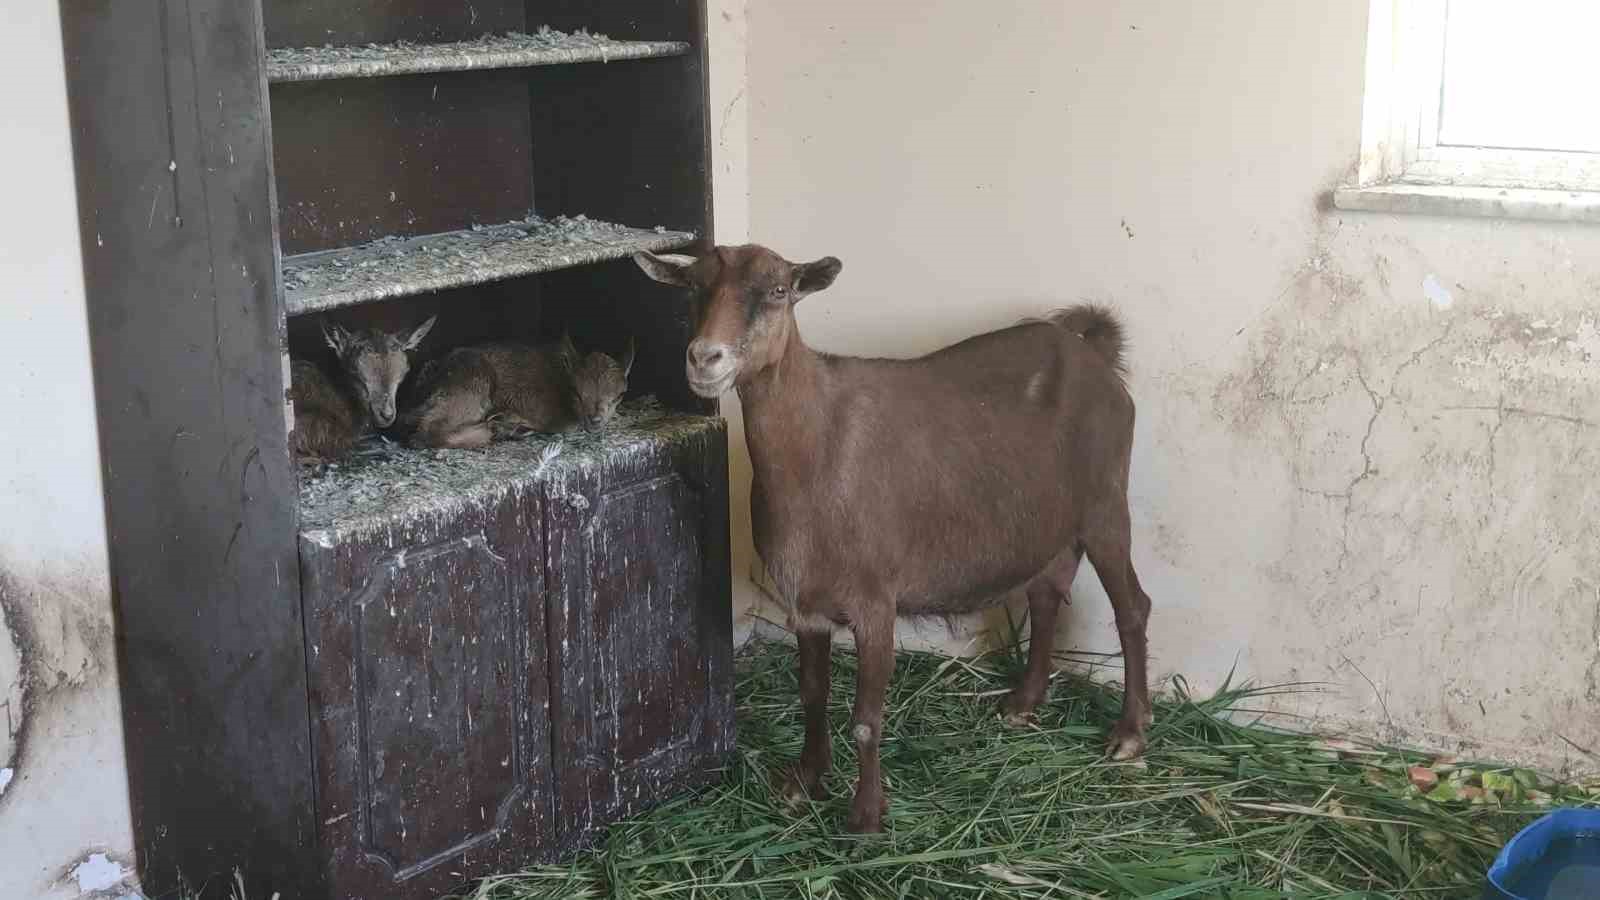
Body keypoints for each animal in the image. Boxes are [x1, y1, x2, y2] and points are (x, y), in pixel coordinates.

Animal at [633, 243, 1152, 826]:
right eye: (694, 287)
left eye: (778, 291)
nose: (705, 359)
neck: (817, 446)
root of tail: (1093, 355)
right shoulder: (805, 602)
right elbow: (811, 693)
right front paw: (805, 780)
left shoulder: (875, 601)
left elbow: (866, 718)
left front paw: (865, 817)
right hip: (1049, 525)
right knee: (1046, 596)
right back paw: (1023, 704)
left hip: (1106, 505)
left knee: (1133, 607)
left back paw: (1129, 734)